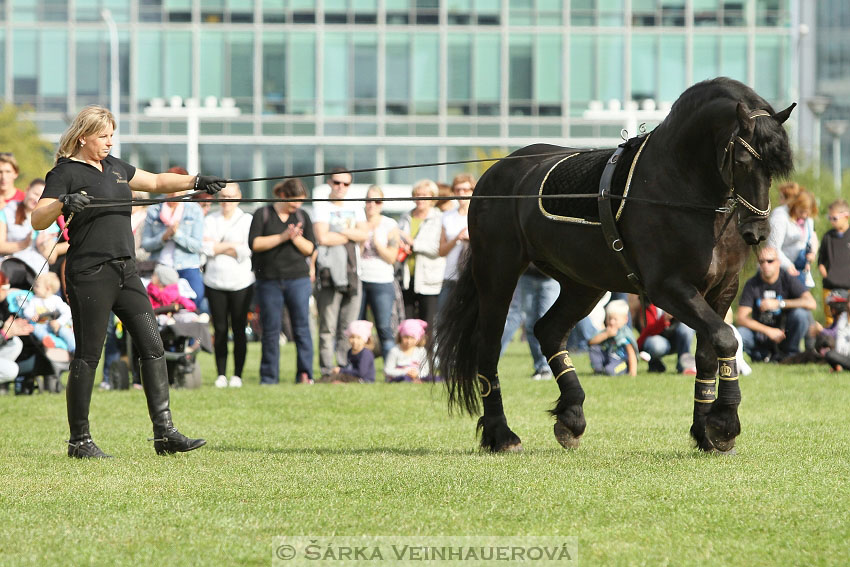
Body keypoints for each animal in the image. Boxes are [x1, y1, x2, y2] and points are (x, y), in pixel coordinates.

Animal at [434, 77, 792, 454]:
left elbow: (710, 351)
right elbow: (725, 338)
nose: (756, 232)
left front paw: (705, 431)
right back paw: (501, 434)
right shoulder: (668, 288)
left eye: (775, 167)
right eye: (742, 159)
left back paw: (571, 416)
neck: (680, 187)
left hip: (583, 283)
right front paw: (724, 424)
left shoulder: (723, 288)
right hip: (498, 273)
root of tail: (495, 174)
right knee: (489, 347)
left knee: (548, 331)